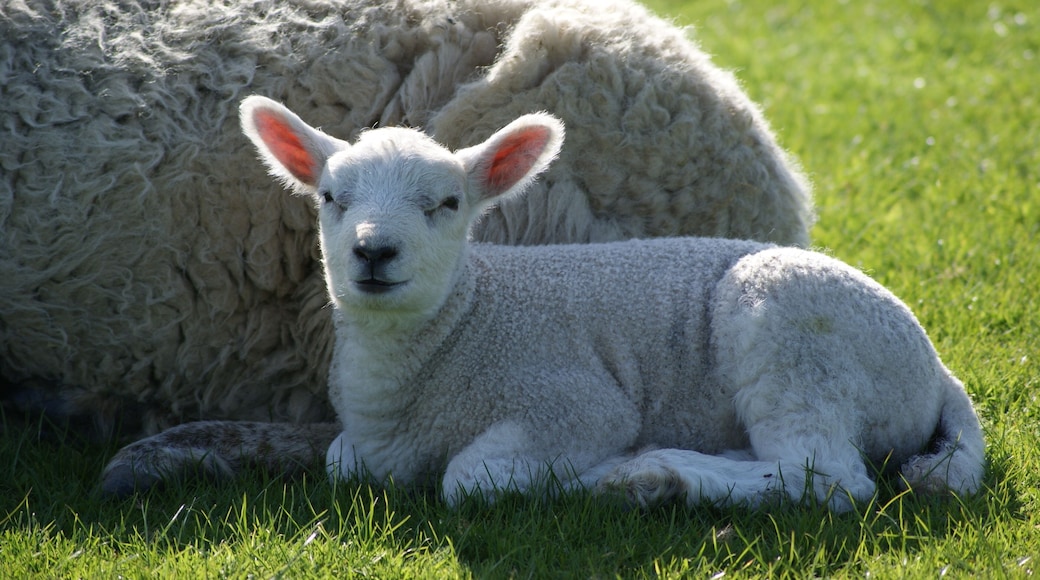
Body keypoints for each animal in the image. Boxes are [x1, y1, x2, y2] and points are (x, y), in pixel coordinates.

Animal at [221, 96, 981, 511]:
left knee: (828, 476)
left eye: (447, 204)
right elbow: (338, 460)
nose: (374, 251)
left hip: (795, 329)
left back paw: (655, 477)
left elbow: (470, 478)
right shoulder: (360, 448)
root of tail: (938, 369)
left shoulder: (573, 402)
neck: (463, 327)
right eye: (330, 198)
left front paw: (585, 476)